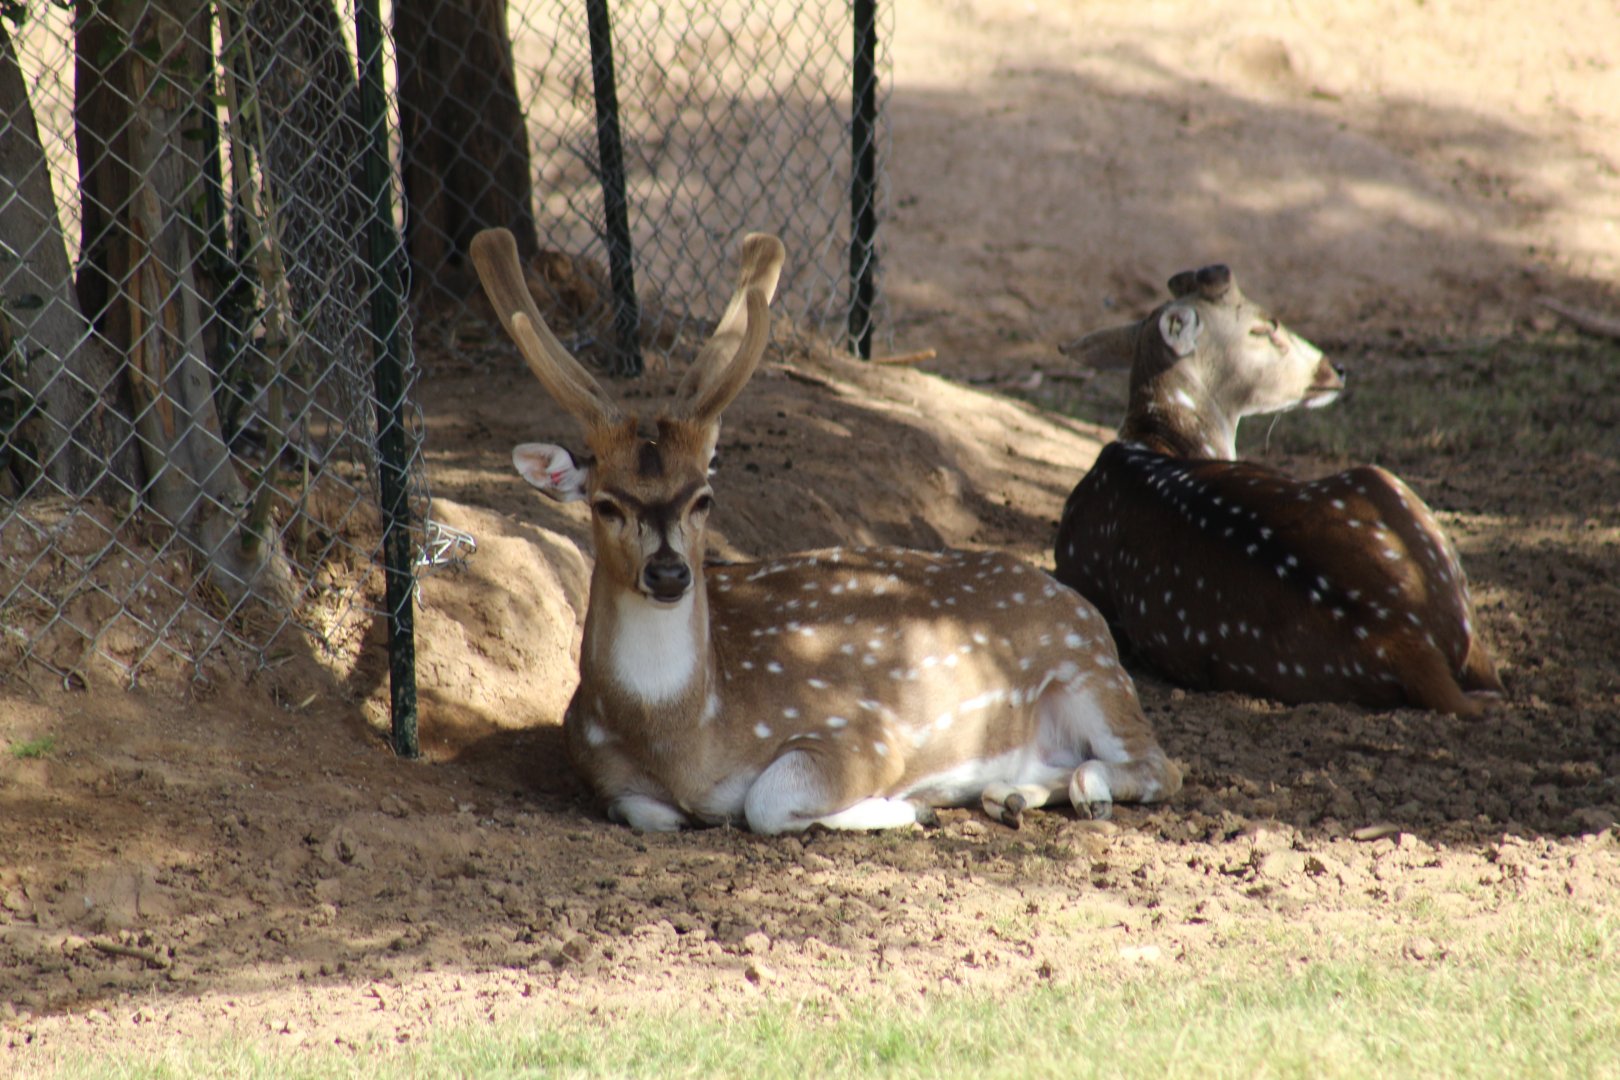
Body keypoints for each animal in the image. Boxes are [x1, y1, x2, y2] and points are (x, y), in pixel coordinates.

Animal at [468, 226, 1181, 833]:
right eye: (604, 504)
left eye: (703, 498)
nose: (669, 573)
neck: (687, 737)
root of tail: (1078, 603)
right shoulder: (599, 767)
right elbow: (649, 811)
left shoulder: (866, 731)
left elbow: (765, 800)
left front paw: (908, 806)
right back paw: (1009, 794)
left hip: (1091, 672)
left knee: (1157, 765)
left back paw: (1077, 792)